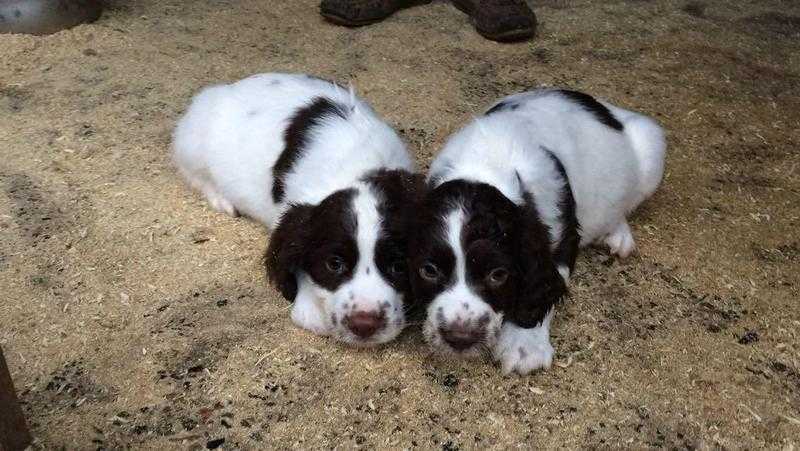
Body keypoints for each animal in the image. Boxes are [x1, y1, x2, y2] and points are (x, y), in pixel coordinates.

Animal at [172, 73, 422, 346]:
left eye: (398, 266)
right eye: (334, 264)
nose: (364, 325)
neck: (361, 168)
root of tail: (228, 87)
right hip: (192, 144)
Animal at [410, 88, 664, 374]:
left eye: (498, 275)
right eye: (428, 271)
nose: (460, 339)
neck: (483, 165)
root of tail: (605, 106)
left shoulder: (562, 236)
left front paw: (524, 345)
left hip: (651, 146)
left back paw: (617, 234)